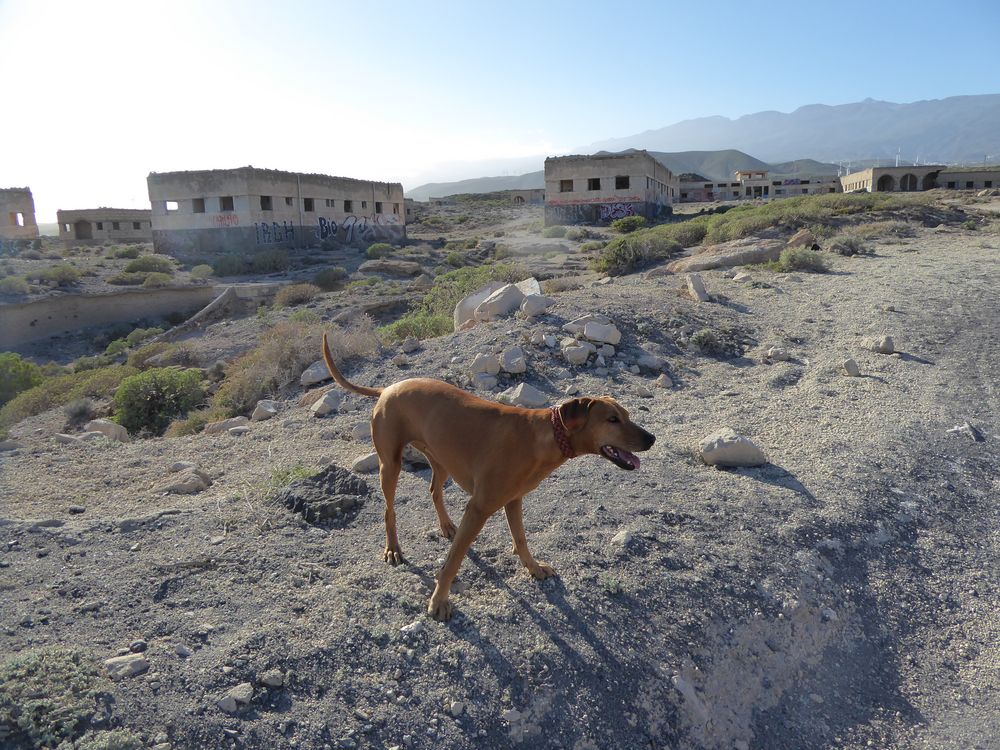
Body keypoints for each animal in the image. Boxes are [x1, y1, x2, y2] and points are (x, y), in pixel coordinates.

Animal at [322, 334, 656, 624]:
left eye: (627, 415)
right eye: (612, 420)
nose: (651, 438)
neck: (545, 437)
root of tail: (387, 388)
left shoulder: (513, 500)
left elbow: (521, 539)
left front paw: (533, 568)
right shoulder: (479, 508)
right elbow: (453, 561)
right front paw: (439, 601)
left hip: (441, 459)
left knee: (434, 491)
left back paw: (446, 526)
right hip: (390, 464)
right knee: (389, 509)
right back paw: (393, 548)